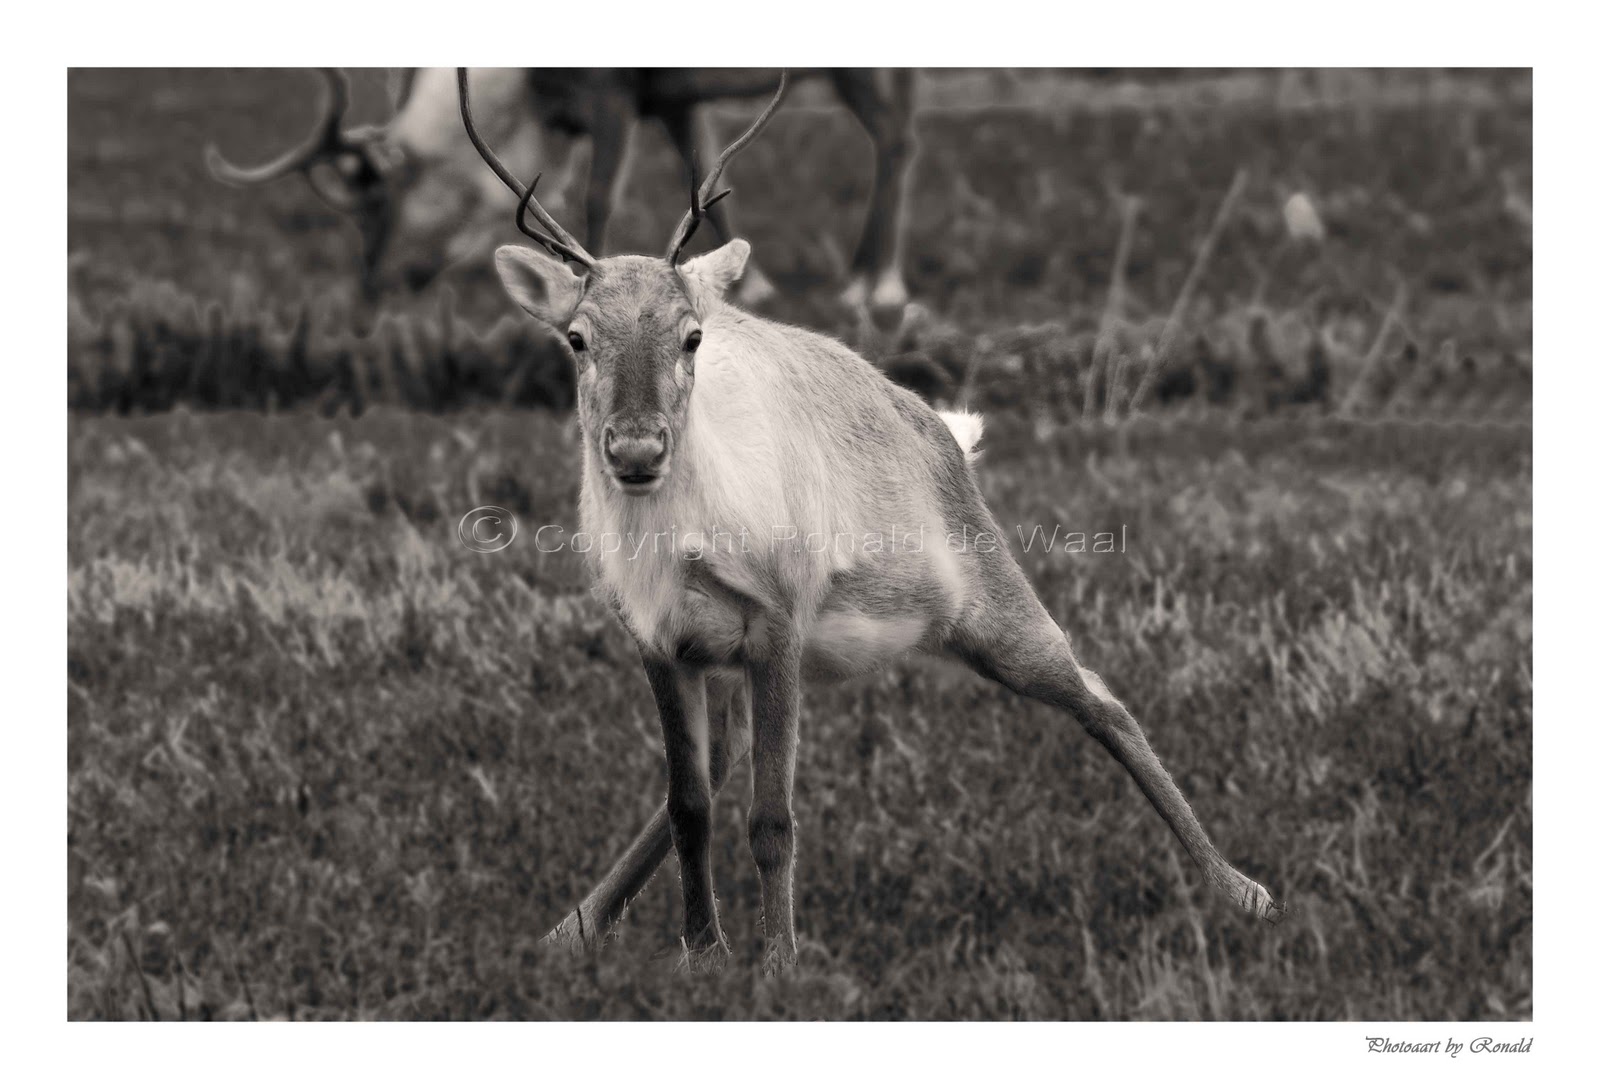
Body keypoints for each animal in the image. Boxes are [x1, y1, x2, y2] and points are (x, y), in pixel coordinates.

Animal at [205, 68, 916, 316]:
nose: (371, 287)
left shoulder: (614, 93)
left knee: (894, 136)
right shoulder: (669, 97)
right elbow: (707, 183)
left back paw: (880, 285)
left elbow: (597, 197)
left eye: (376, 202)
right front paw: (757, 287)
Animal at [458, 68, 1284, 971]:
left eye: (691, 336)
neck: (678, 545)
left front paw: (778, 965)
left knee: (1103, 698)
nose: (636, 450)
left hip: (991, 607)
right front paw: (702, 951)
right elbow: (689, 805)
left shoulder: (779, 624)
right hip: (746, 661)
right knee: (720, 767)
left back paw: (1241, 889)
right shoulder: (663, 642)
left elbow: (772, 819)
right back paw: (567, 929)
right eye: (576, 337)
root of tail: (943, 427)